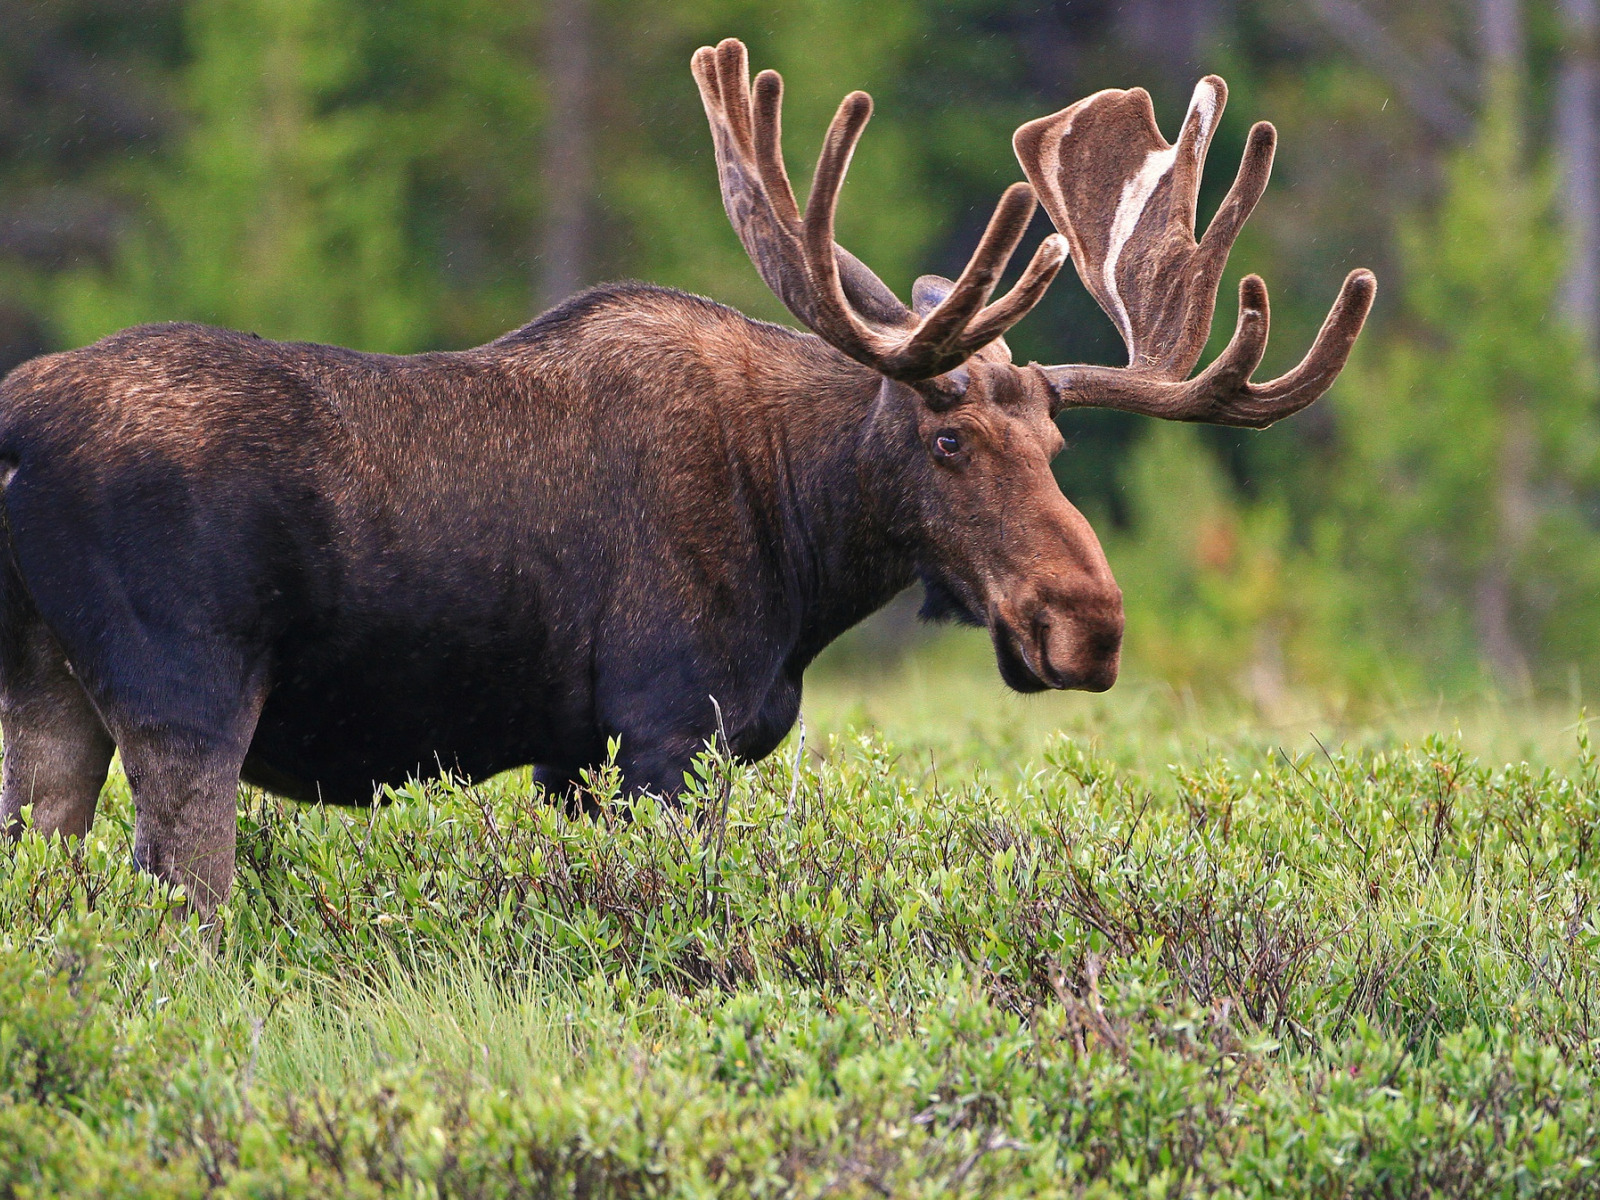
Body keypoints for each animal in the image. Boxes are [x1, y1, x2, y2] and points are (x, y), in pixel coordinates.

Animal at [0, 40, 1376, 921]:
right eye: (946, 442)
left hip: (45, 695)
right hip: (185, 695)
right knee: (181, 914)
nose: (1086, 626)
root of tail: (14, 429)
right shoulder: (667, 731)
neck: (803, 549)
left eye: (1055, 448)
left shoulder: (573, 760)